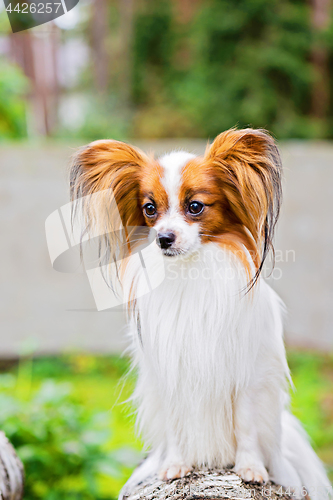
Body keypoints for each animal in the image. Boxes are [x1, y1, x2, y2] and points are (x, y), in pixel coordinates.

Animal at [69, 127, 330, 498]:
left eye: (195, 206)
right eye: (150, 209)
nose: (163, 238)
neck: (192, 270)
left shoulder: (247, 373)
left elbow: (246, 424)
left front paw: (250, 468)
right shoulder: (171, 372)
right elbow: (176, 426)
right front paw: (176, 465)